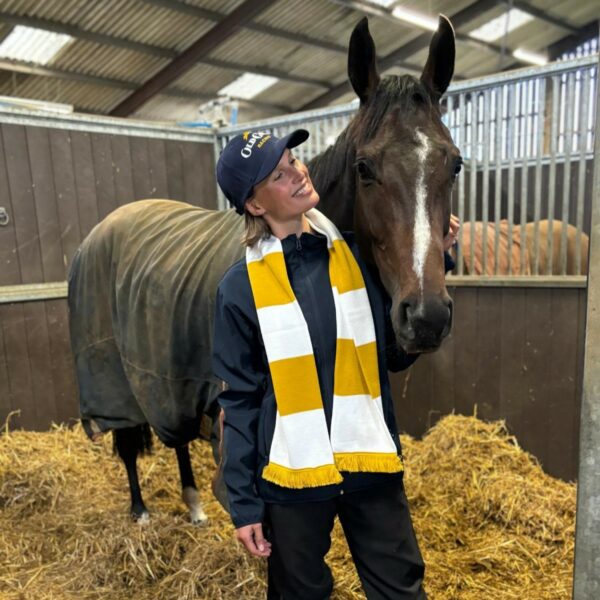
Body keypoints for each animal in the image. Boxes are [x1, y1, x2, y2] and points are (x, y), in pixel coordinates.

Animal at [67, 12, 460, 520]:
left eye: (455, 165)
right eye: (364, 167)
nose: (426, 316)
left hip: (165, 381)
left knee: (173, 435)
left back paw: (192, 504)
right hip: (114, 377)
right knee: (129, 440)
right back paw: (140, 509)